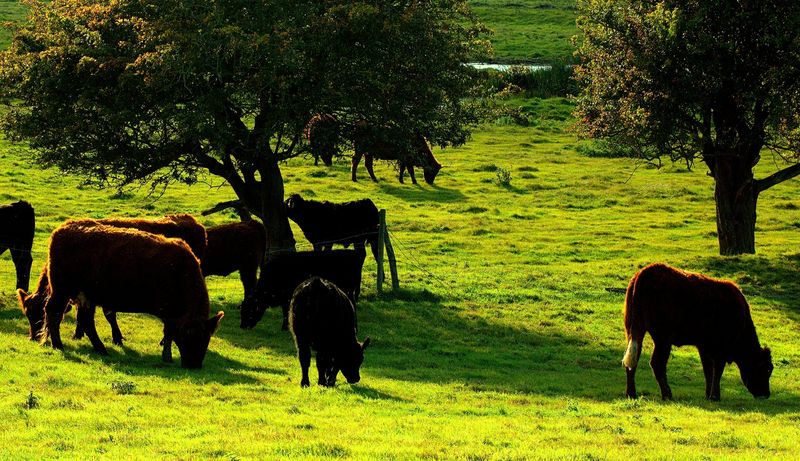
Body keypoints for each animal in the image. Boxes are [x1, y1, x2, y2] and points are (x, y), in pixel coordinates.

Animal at [17, 221, 223, 368]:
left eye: (205, 339)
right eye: (188, 338)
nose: (193, 365)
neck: (182, 272)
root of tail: (63, 229)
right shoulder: (168, 311)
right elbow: (169, 332)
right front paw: (167, 357)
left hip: (85, 296)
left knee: (86, 321)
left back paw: (100, 349)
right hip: (63, 290)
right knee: (54, 312)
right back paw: (58, 344)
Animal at [622, 263, 773, 401]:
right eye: (766, 369)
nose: (766, 394)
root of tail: (644, 273)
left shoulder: (704, 346)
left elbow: (708, 370)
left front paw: (708, 394)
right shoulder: (721, 348)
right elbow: (717, 369)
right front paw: (715, 396)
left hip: (634, 331)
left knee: (632, 360)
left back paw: (631, 394)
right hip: (663, 339)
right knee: (657, 363)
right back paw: (667, 395)